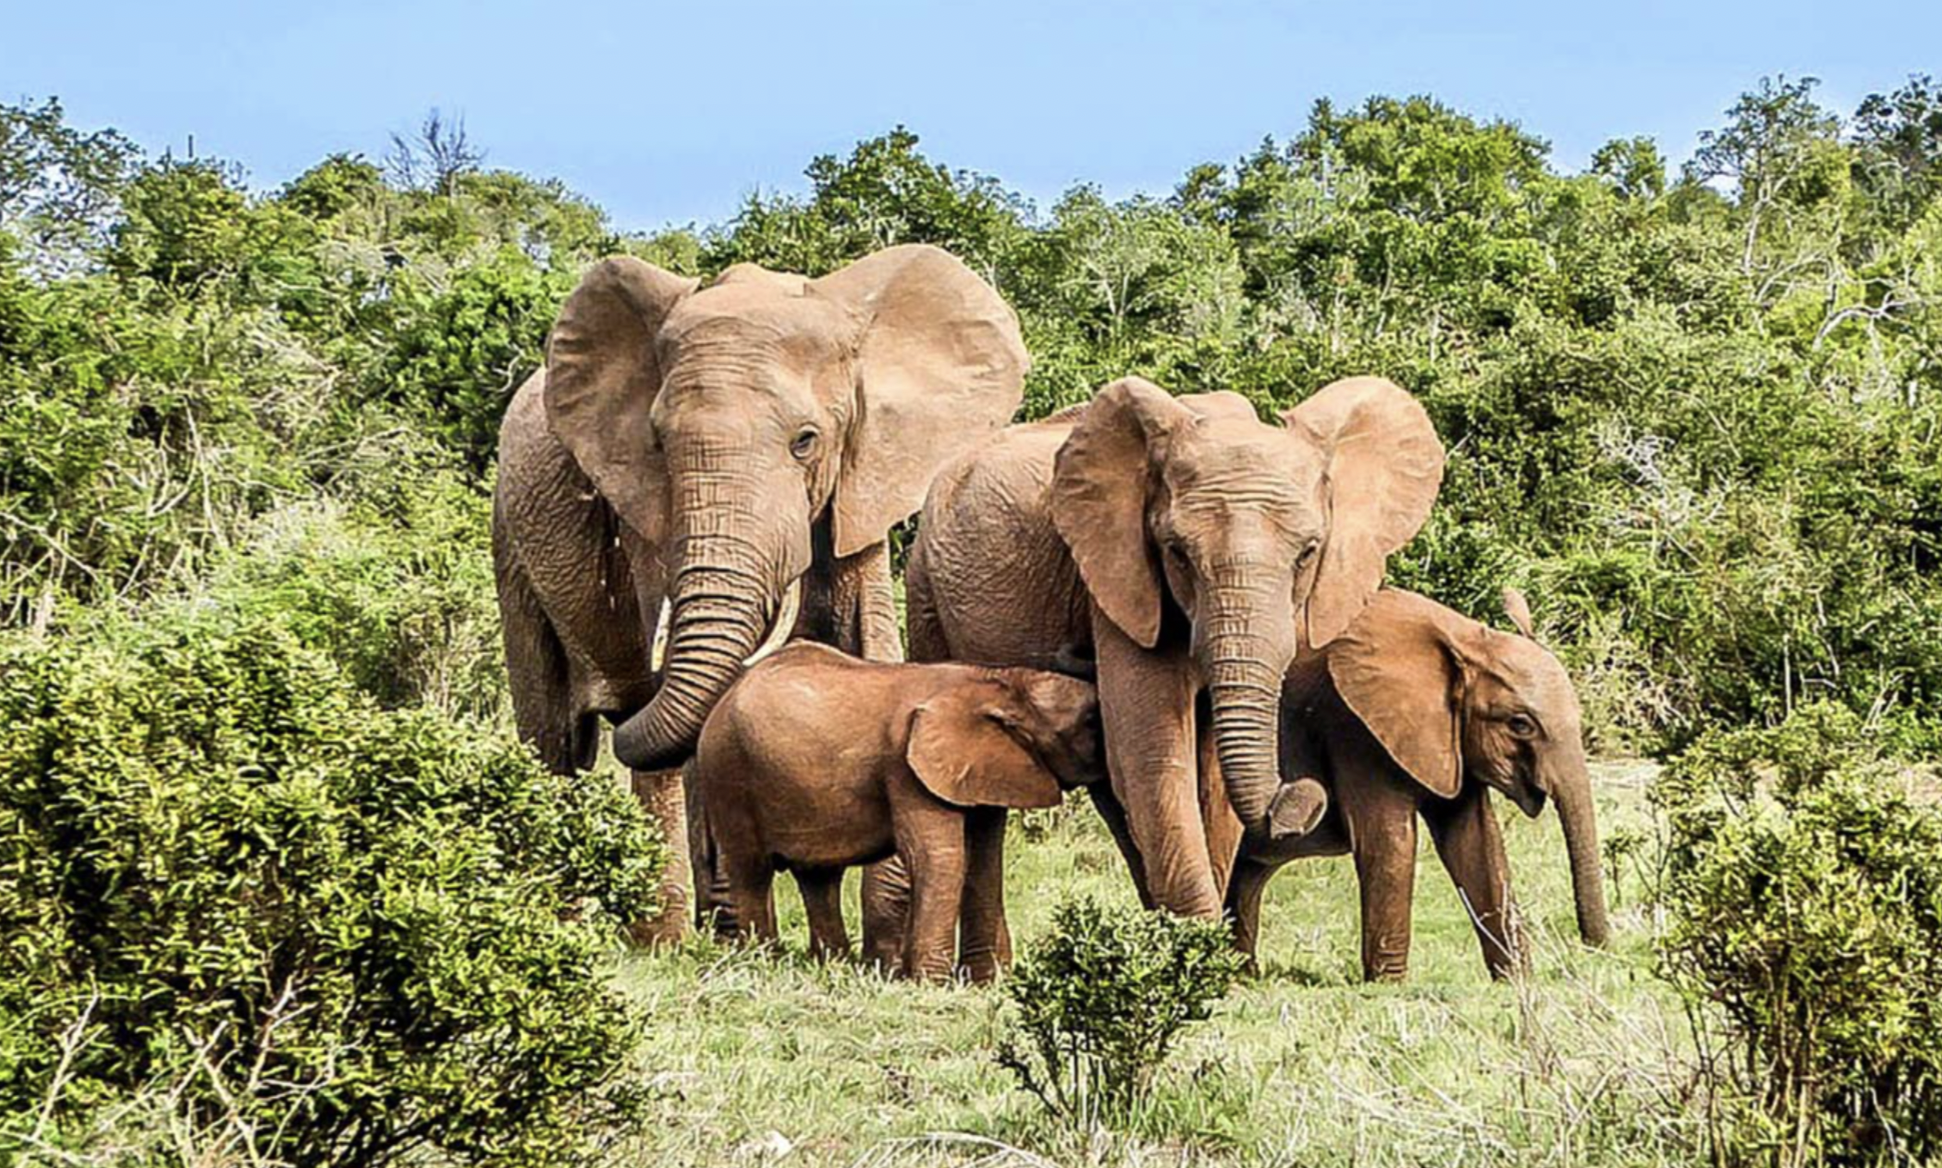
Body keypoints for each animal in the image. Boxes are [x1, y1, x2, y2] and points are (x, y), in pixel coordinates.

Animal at [691, 641, 1103, 979]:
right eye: (1090, 721)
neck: (999, 682)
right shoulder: (906, 766)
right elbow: (939, 856)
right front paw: (930, 984)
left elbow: (983, 859)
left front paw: (988, 982)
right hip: (727, 773)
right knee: (752, 871)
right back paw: (763, 961)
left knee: (818, 877)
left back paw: (833, 966)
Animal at [897, 373, 1444, 921]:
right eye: (1177, 553)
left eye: (1308, 552)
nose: (1300, 795)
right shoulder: (1120, 578)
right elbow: (1154, 756)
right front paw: (1199, 940)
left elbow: (1210, 780)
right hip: (924, 589)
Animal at [1219, 586, 1615, 979]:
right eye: (1520, 724)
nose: (1591, 947)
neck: (1465, 638)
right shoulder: (1353, 726)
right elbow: (1389, 841)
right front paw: (1389, 985)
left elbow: (1476, 842)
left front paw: (1517, 980)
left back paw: (1242, 974)